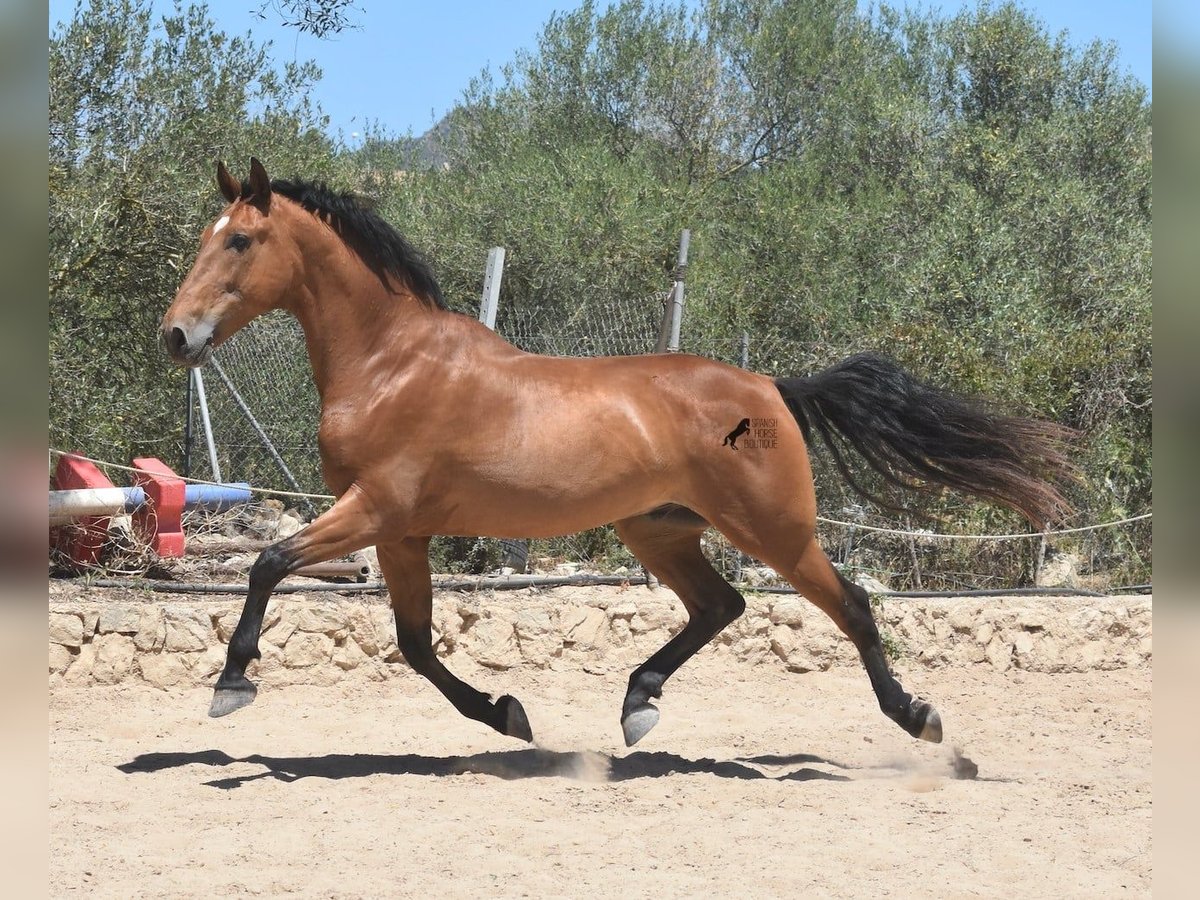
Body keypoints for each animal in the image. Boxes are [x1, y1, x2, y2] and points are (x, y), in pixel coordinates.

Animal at [157, 160, 1070, 748]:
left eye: (239, 241)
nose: (176, 336)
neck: (391, 364)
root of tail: (772, 386)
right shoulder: (401, 532)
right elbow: (415, 645)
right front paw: (505, 713)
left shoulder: (376, 511)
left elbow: (270, 562)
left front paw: (231, 685)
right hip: (659, 529)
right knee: (720, 606)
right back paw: (637, 704)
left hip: (772, 530)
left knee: (848, 604)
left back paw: (916, 717)